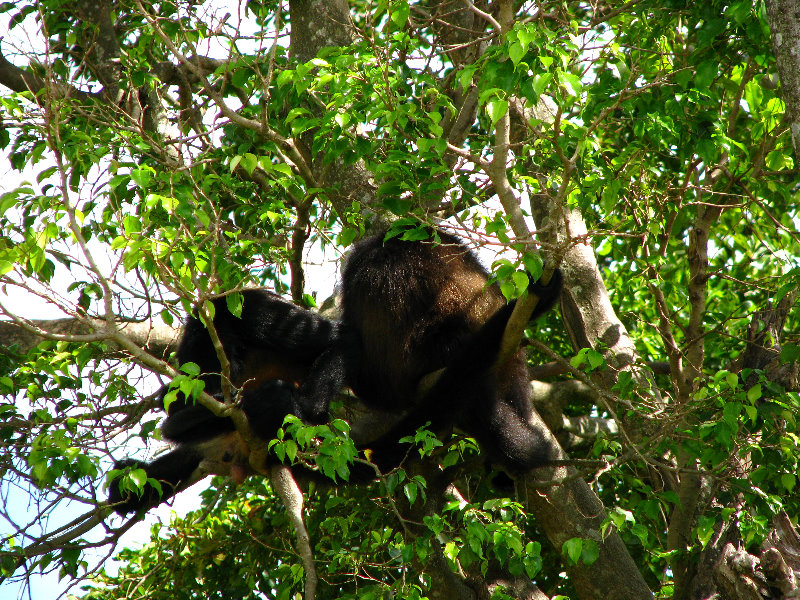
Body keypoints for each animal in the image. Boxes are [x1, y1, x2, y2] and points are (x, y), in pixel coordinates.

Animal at [109, 229, 564, 516]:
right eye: (217, 367)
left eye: (233, 355)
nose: (229, 377)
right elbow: (174, 419)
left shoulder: (257, 312)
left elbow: (341, 342)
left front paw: (290, 406)